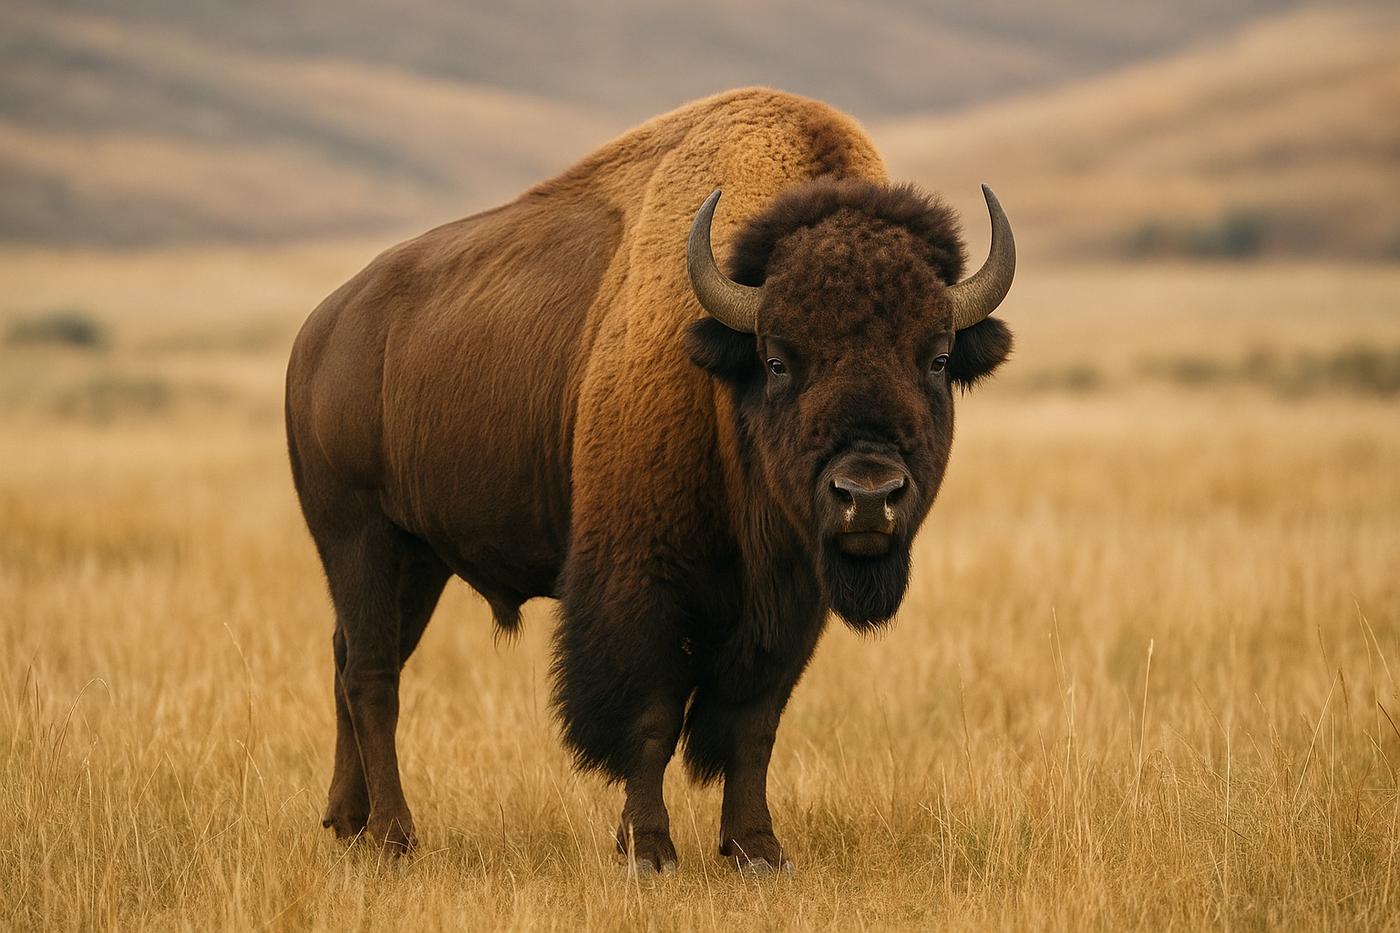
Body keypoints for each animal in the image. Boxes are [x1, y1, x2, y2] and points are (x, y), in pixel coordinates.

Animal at [285, 87, 1016, 872]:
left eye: (936, 358)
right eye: (779, 359)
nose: (869, 494)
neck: (725, 383)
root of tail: (318, 331)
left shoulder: (789, 607)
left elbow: (754, 724)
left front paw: (758, 849)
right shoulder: (642, 584)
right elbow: (651, 719)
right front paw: (648, 848)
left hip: (418, 561)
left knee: (351, 658)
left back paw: (347, 822)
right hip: (358, 537)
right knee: (372, 676)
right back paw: (395, 837)